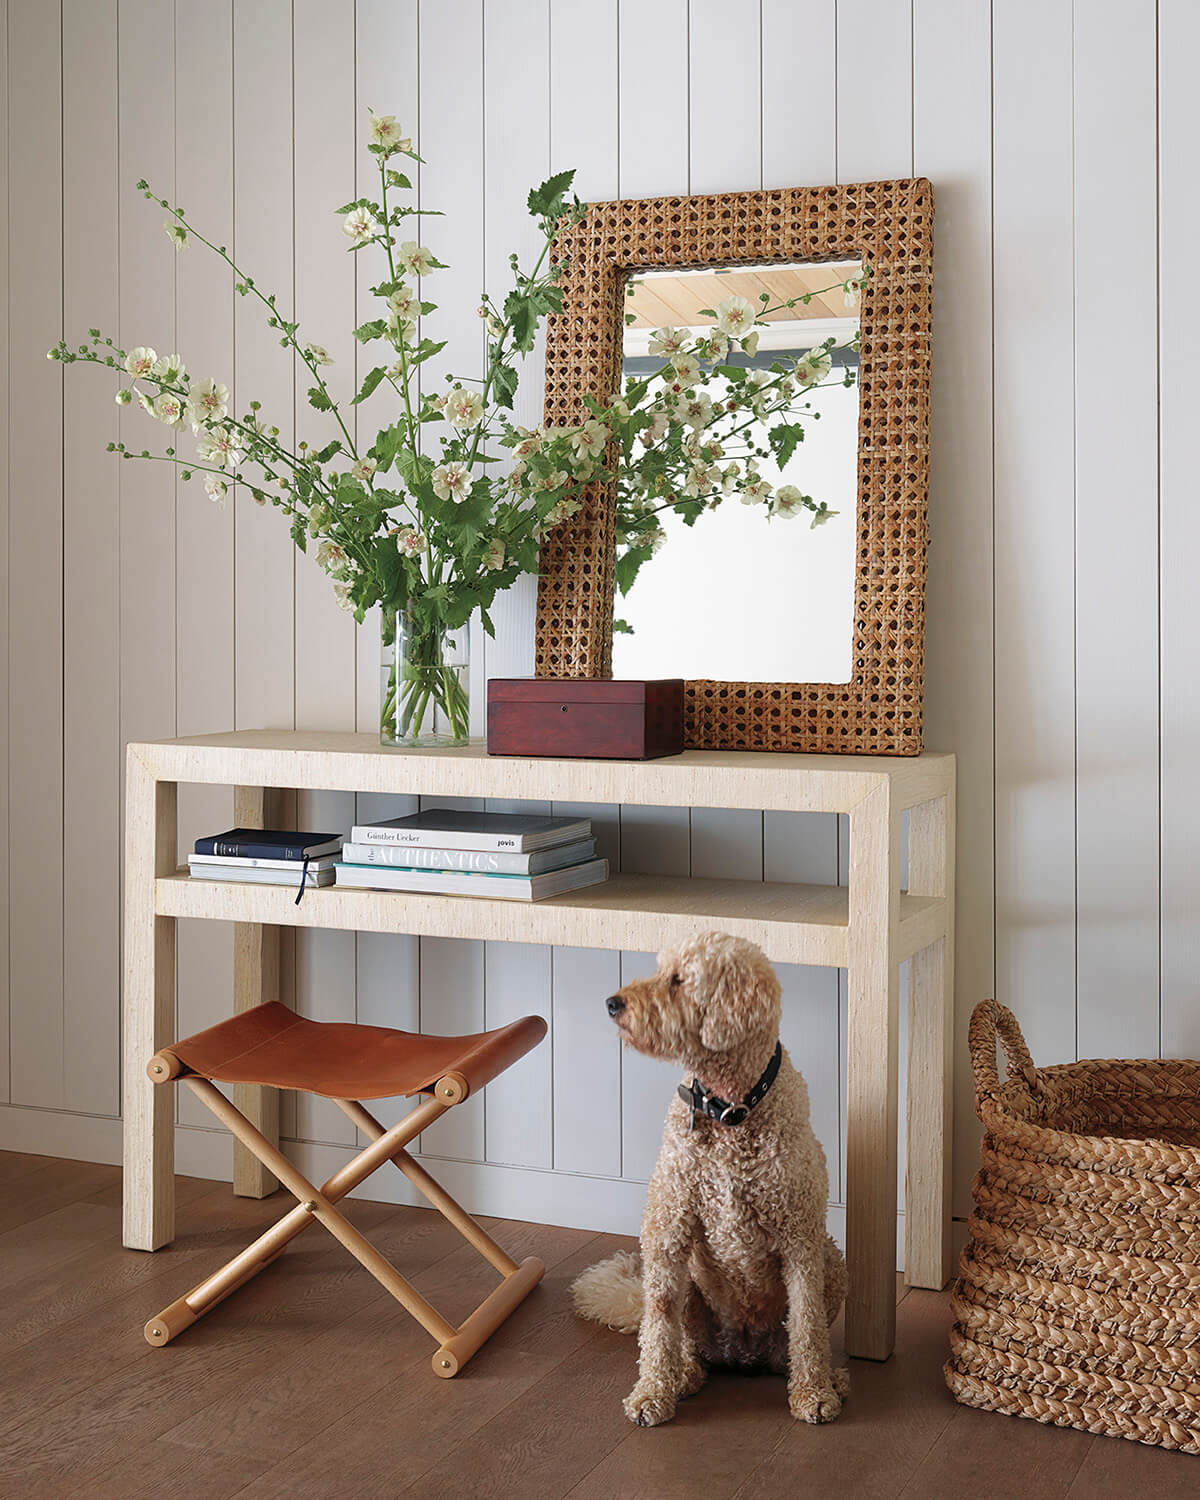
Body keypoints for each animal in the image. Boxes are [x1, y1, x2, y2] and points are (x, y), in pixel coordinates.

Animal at [570, 930, 846, 1422]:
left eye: (679, 980)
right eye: (661, 970)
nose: (612, 1003)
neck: (729, 1110)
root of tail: (742, 1354)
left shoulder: (800, 1237)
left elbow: (808, 1323)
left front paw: (814, 1393)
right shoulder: (667, 1231)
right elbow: (659, 1324)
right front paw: (651, 1393)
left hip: (831, 1260)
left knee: (792, 1345)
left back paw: (829, 1376)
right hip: (692, 1290)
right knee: (686, 1343)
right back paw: (682, 1374)